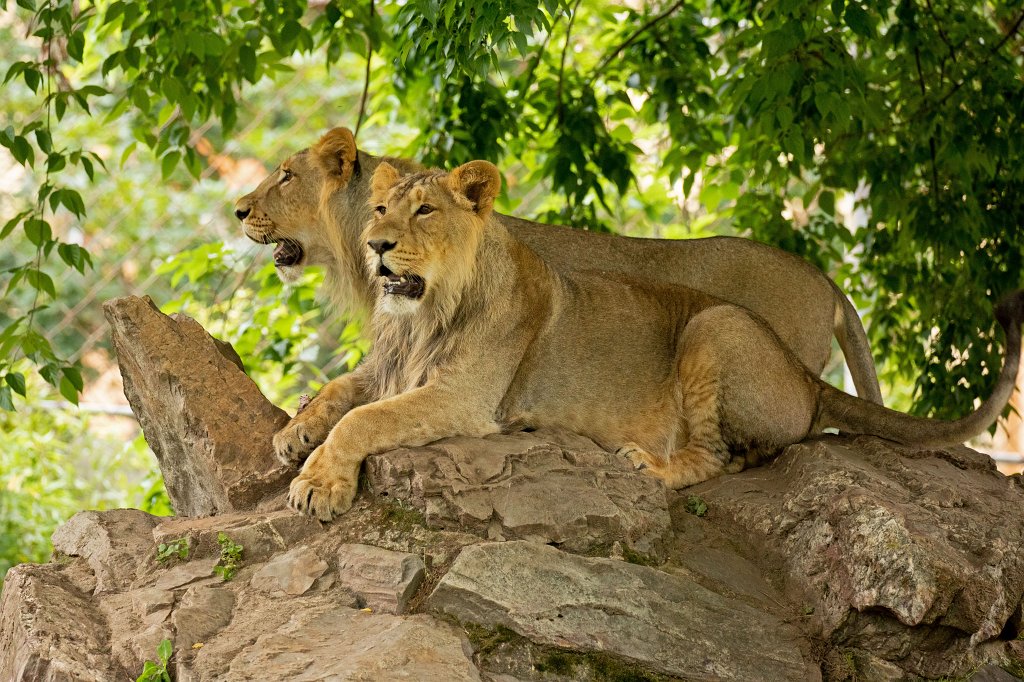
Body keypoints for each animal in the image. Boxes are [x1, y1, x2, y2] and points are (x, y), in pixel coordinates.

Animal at [282, 160, 1023, 521]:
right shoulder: (388, 370)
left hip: (715, 324)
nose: (376, 246)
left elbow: (361, 420)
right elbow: (338, 392)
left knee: (718, 457)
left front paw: (319, 484)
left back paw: (650, 465)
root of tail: (809, 380)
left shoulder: (464, 399)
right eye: (381, 209)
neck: (420, 315)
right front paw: (293, 433)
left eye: (425, 211)